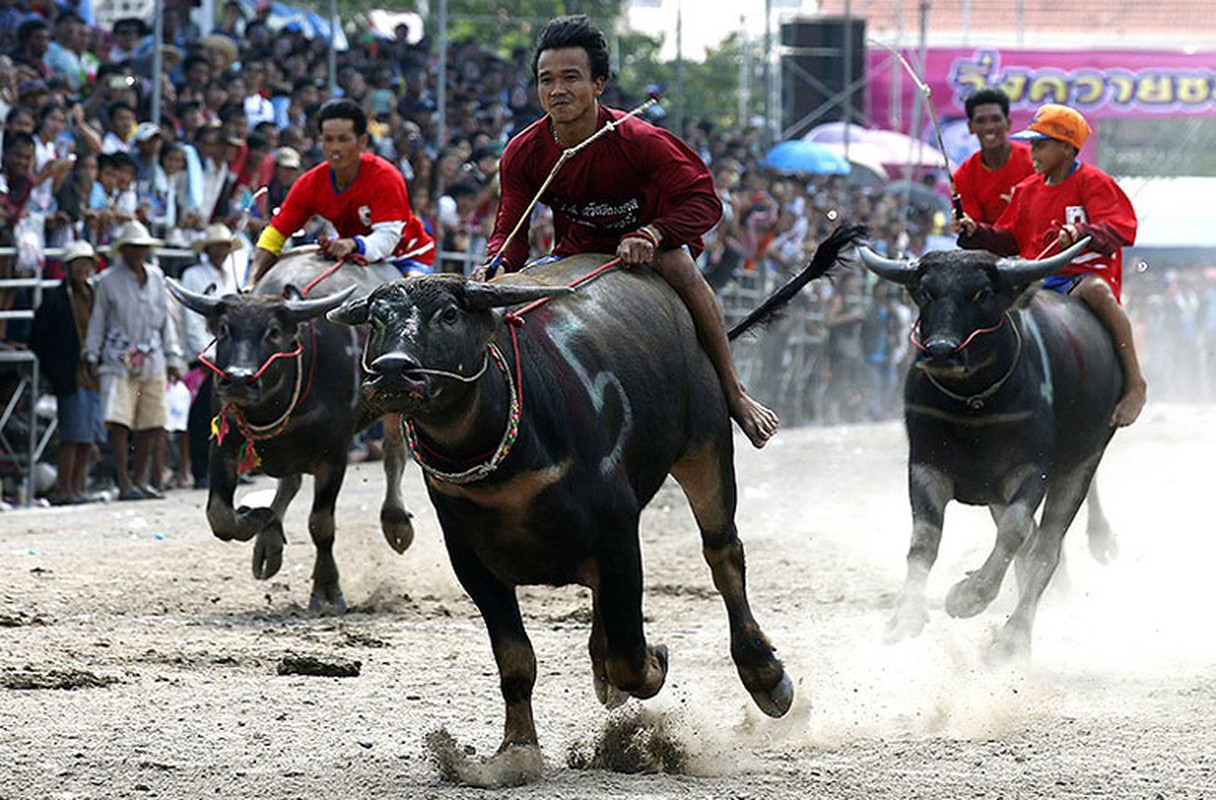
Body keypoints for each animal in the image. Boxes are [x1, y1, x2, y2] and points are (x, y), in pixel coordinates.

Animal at [166, 249, 415, 610]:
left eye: (272, 331)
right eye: (224, 329)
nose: (238, 379)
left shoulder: (333, 455)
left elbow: (321, 524)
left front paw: (327, 590)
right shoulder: (225, 442)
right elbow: (219, 515)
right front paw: (257, 517)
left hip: (394, 402)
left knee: (394, 456)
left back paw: (396, 523)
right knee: (291, 481)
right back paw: (268, 539)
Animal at [328, 227, 865, 782]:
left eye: (449, 314)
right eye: (376, 319)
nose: (393, 373)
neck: (505, 464)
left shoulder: (618, 537)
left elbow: (632, 655)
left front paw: (656, 660)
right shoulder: (472, 562)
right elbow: (516, 661)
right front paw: (516, 750)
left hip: (707, 444)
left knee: (723, 554)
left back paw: (765, 675)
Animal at [860, 239, 1123, 656]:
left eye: (982, 293)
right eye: (926, 292)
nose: (941, 351)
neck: (973, 407)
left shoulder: (1032, 471)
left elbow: (1015, 534)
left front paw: (969, 596)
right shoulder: (925, 466)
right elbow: (924, 542)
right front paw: (905, 616)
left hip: (1083, 461)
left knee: (1045, 549)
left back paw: (1013, 638)